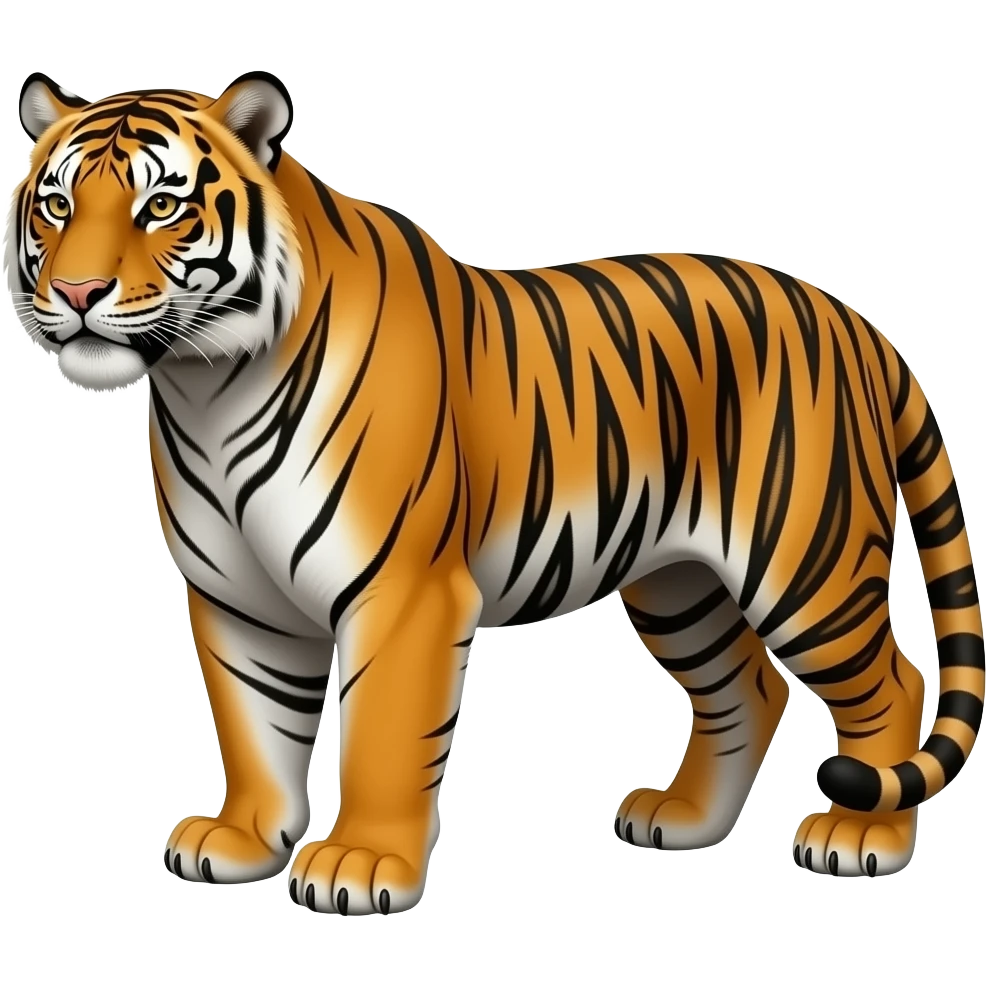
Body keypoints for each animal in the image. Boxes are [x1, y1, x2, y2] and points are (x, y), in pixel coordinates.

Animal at [4, 69, 983, 914]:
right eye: (56, 205)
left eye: (161, 206)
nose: (76, 291)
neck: (205, 384)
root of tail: (855, 322)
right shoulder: (235, 597)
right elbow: (255, 723)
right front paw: (243, 839)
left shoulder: (402, 591)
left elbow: (382, 733)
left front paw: (359, 863)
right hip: (679, 582)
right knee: (745, 685)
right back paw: (682, 819)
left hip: (804, 562)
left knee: (893, 682)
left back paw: (860, 838)